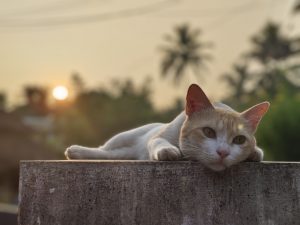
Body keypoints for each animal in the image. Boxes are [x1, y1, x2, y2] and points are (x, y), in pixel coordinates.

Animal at [65, 83, 270, 171]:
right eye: (208, 132)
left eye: (239, 140)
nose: (223, 152)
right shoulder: (158, 138)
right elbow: (159, 142)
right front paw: (168, 151)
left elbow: (258, 152)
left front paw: (253, 154)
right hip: (122, 138)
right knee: (103, 150)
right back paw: (75, 151)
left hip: (122, 152)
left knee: (111, 155)